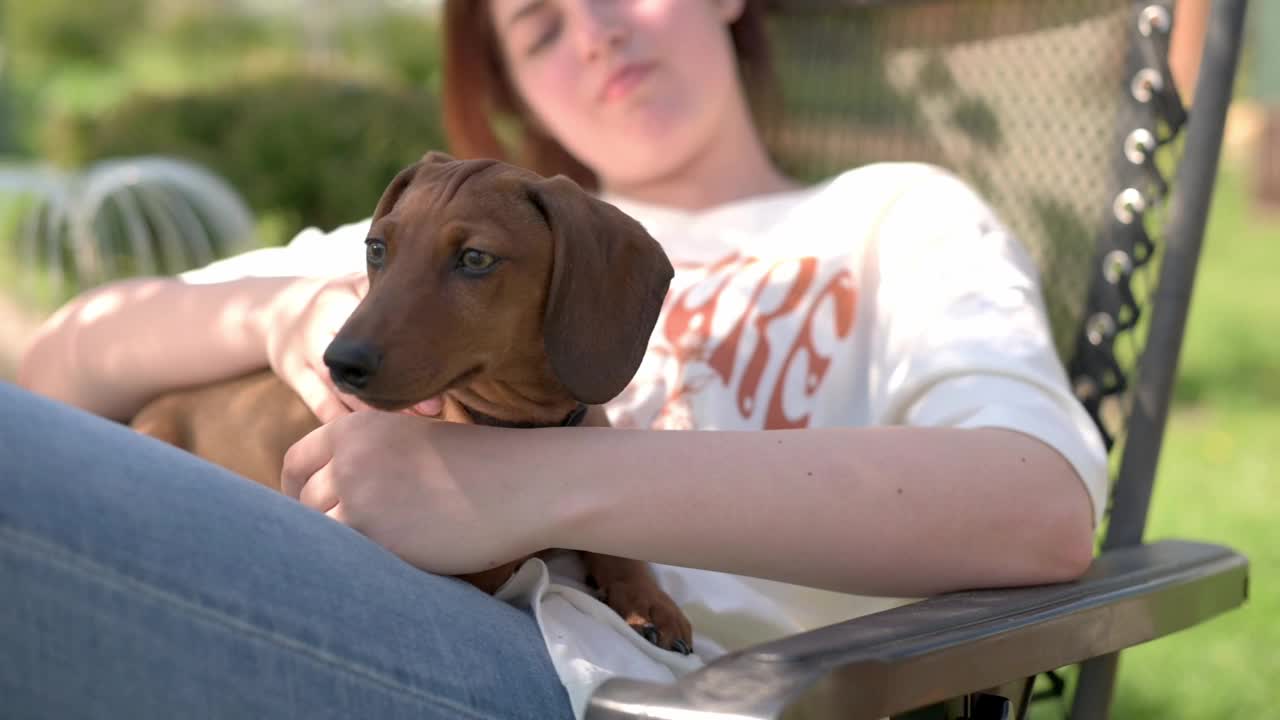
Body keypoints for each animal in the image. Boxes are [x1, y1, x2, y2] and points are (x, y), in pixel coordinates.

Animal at [128, 151, 691, 650]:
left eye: (475, 258)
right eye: (377, 247)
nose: (340, 362)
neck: (523, 426)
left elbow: (621, 549)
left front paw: (648, 600)